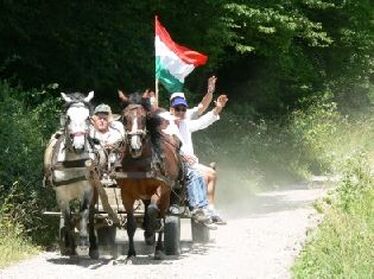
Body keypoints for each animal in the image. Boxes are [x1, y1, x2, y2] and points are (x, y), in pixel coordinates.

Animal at [50, 92, 99, 260]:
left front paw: (83, 243)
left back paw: (93, 247)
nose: (79, 146)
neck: (73, 162)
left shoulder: (87, 190)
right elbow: (68, 218)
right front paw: (70, 247)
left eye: (87, 118)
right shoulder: (61, 195)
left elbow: (83, 213)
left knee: (91, 215)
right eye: (68, 117)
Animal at [116, 91, 182, 260]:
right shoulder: (126, 193)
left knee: (161, 214)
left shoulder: (161, 188)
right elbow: (131, 225)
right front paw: (131, 253)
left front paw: (153, 230)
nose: (135, 147)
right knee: (147, 207)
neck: (140, 163)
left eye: (144, 117)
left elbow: (153, 210)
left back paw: (158, 246)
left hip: (166, 194)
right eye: (124, 118)